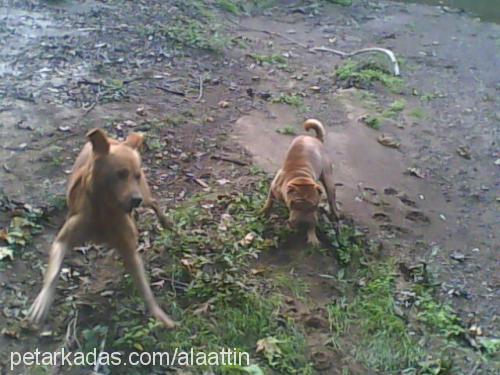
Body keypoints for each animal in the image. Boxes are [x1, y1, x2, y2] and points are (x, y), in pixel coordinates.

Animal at [27, 129, 176, 328]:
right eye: (121, 174)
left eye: (136, 176)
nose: (135, 200)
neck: (104, 212)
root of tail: (115, 140)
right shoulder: (62, 241)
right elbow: (53, 274)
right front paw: (42, 302)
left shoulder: (129, 250)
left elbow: (145, 289)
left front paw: (160, 315)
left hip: (144, 195)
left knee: (154, 202)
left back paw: (166, 222)